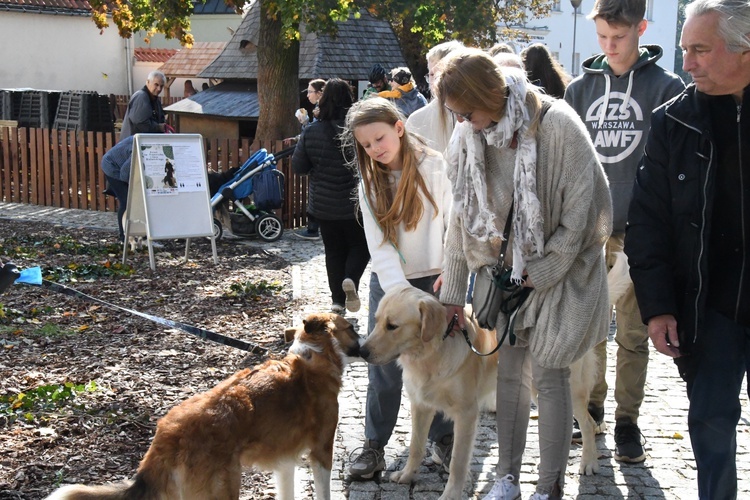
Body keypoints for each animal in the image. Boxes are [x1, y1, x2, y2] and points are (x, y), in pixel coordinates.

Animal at [45, 312, 362, 500]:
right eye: (351, 328)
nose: (365, 344)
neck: (313, 358)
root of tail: (168, 434)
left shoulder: (285, 462)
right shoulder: (321, 451)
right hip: (223, 489)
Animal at [360, 286, 500, 500]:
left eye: (392, 326)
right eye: (376, 321)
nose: (361, 351)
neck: (431, 354)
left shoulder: (466, 414)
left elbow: (458, 461)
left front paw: (451, 494)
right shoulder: (420, 405)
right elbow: (415, 446)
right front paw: (408, 475)